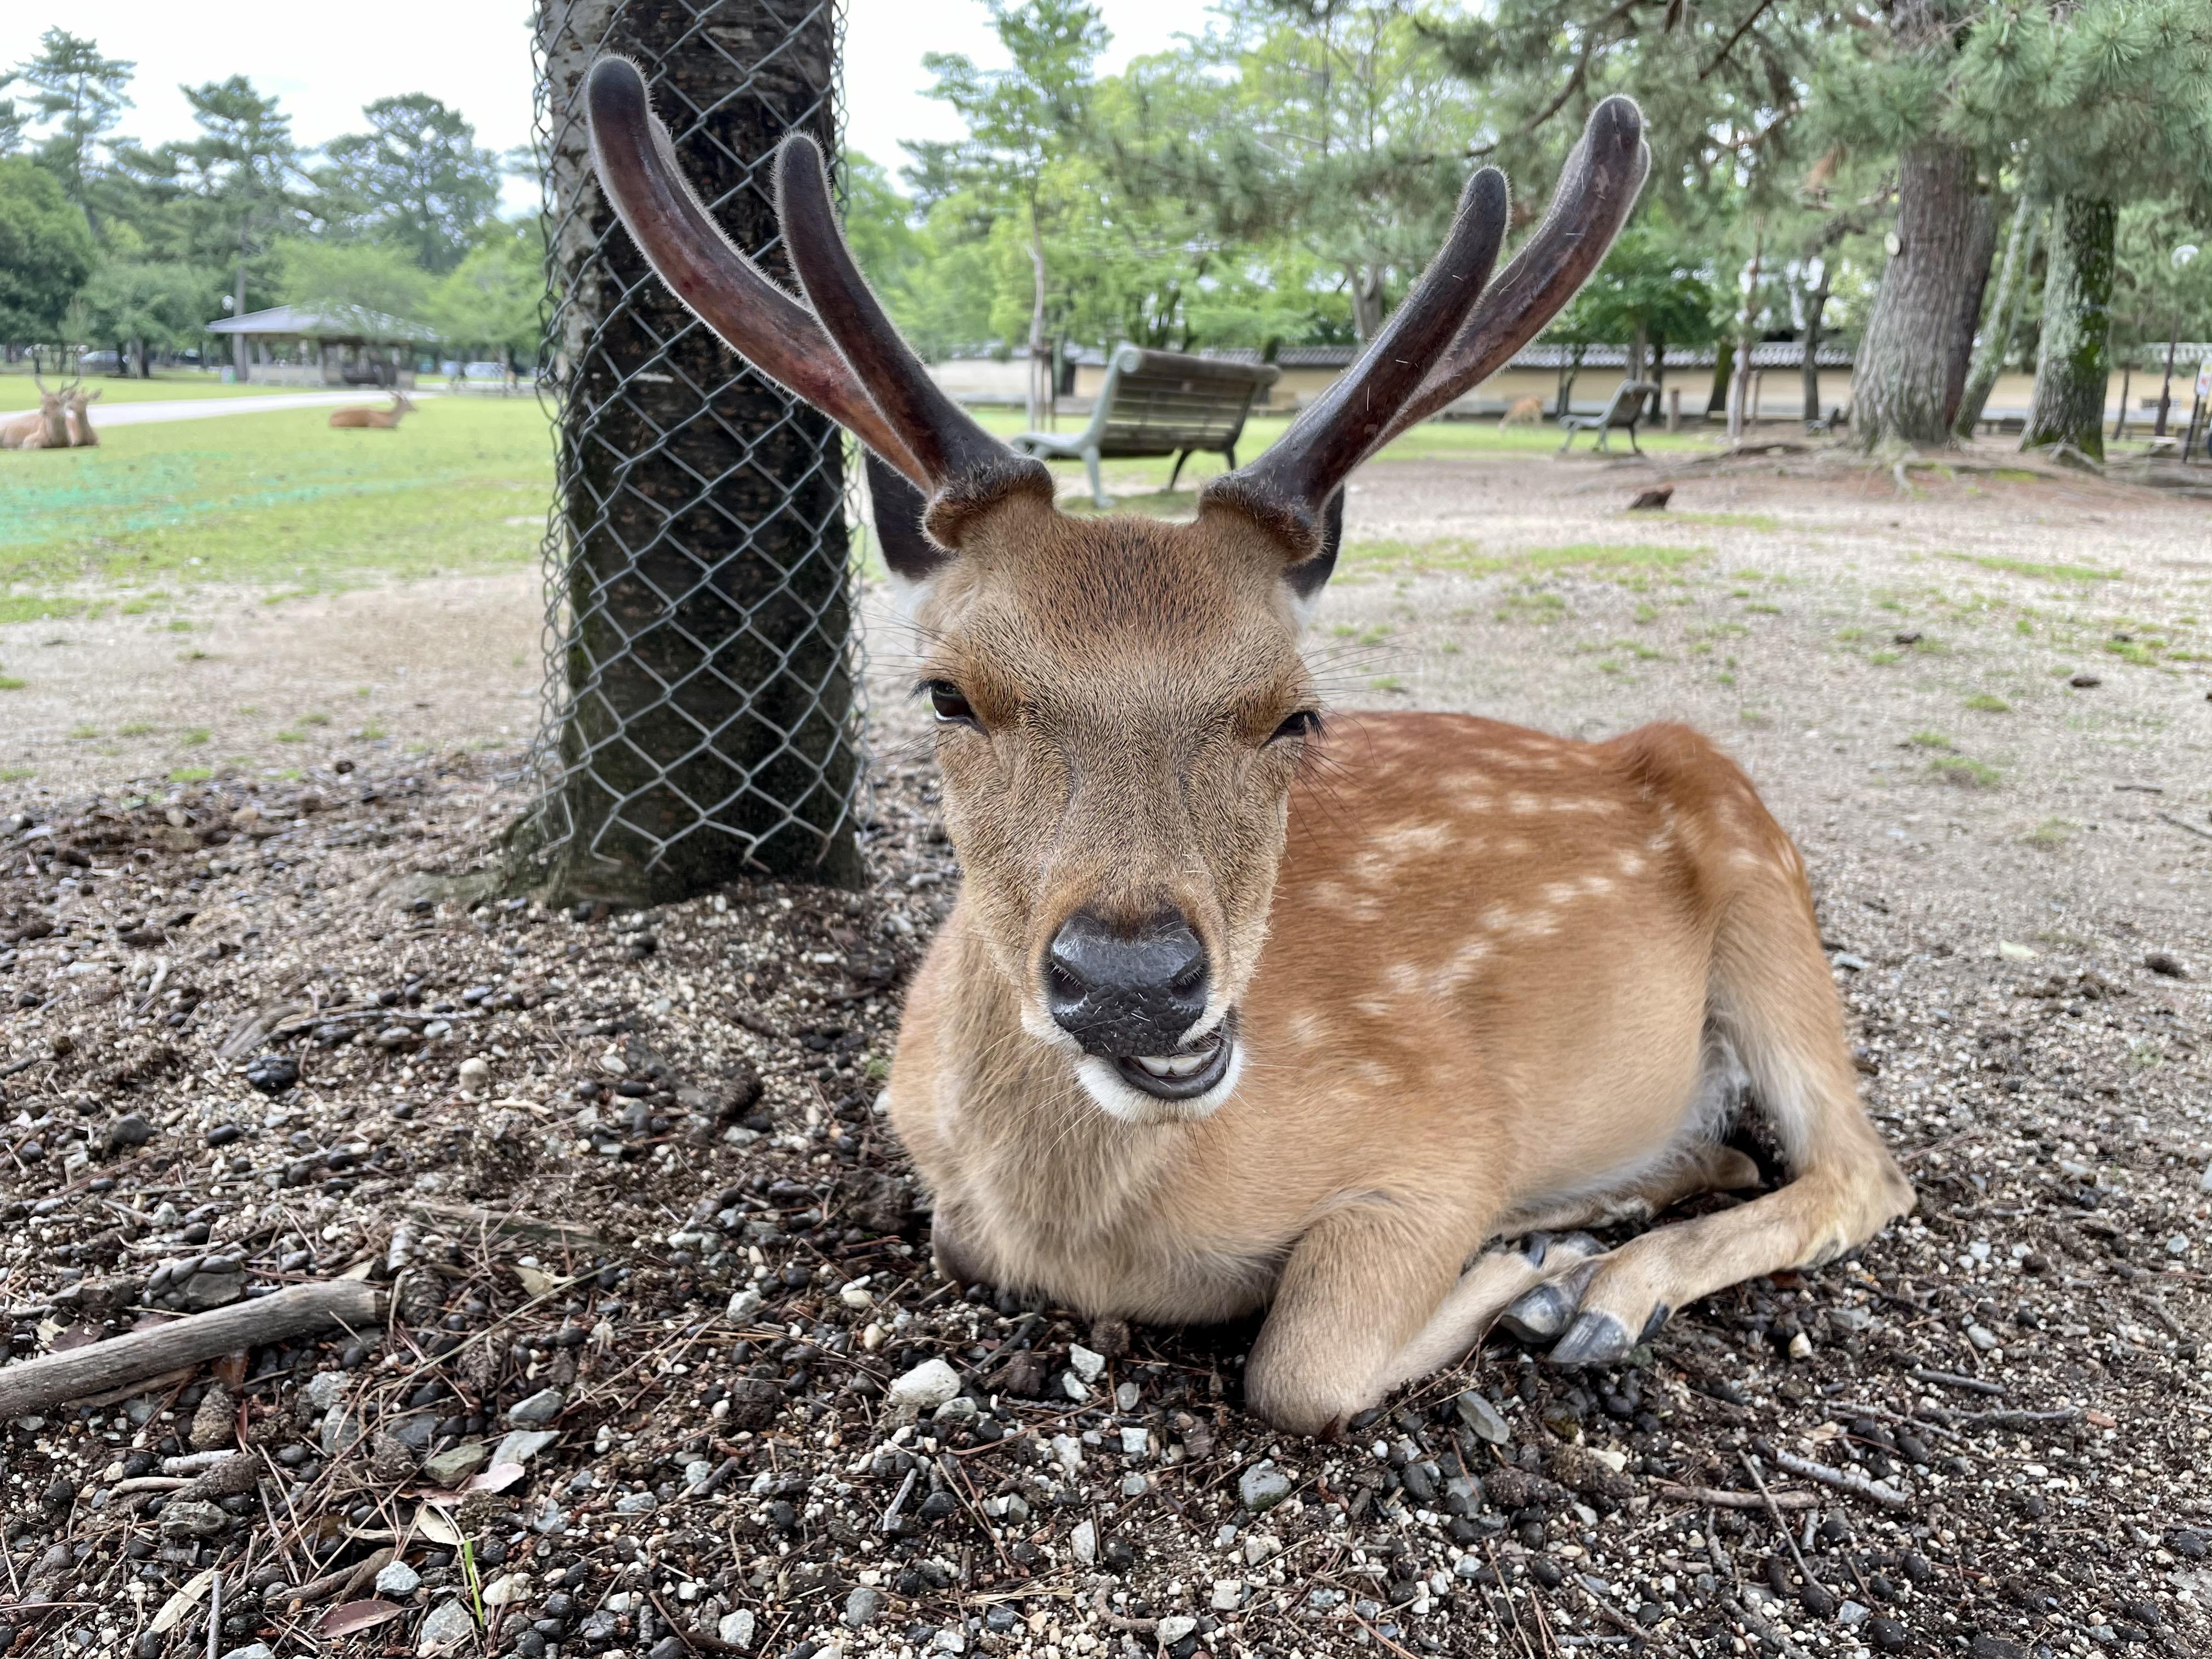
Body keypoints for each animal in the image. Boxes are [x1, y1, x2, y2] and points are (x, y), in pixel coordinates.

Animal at [588, 61, 1920, 1442]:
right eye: (947, 694)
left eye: (1295, 710)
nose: (1132, 980)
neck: (1088, 1234)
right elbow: (965, 1238)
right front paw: (1541, 1244)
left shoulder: (1446, 1124)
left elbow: (1304, 1362)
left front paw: (1519, 1264)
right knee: (1742, 1150)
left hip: (1763, 878)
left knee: (1864, 1171)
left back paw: (1603, 1288)